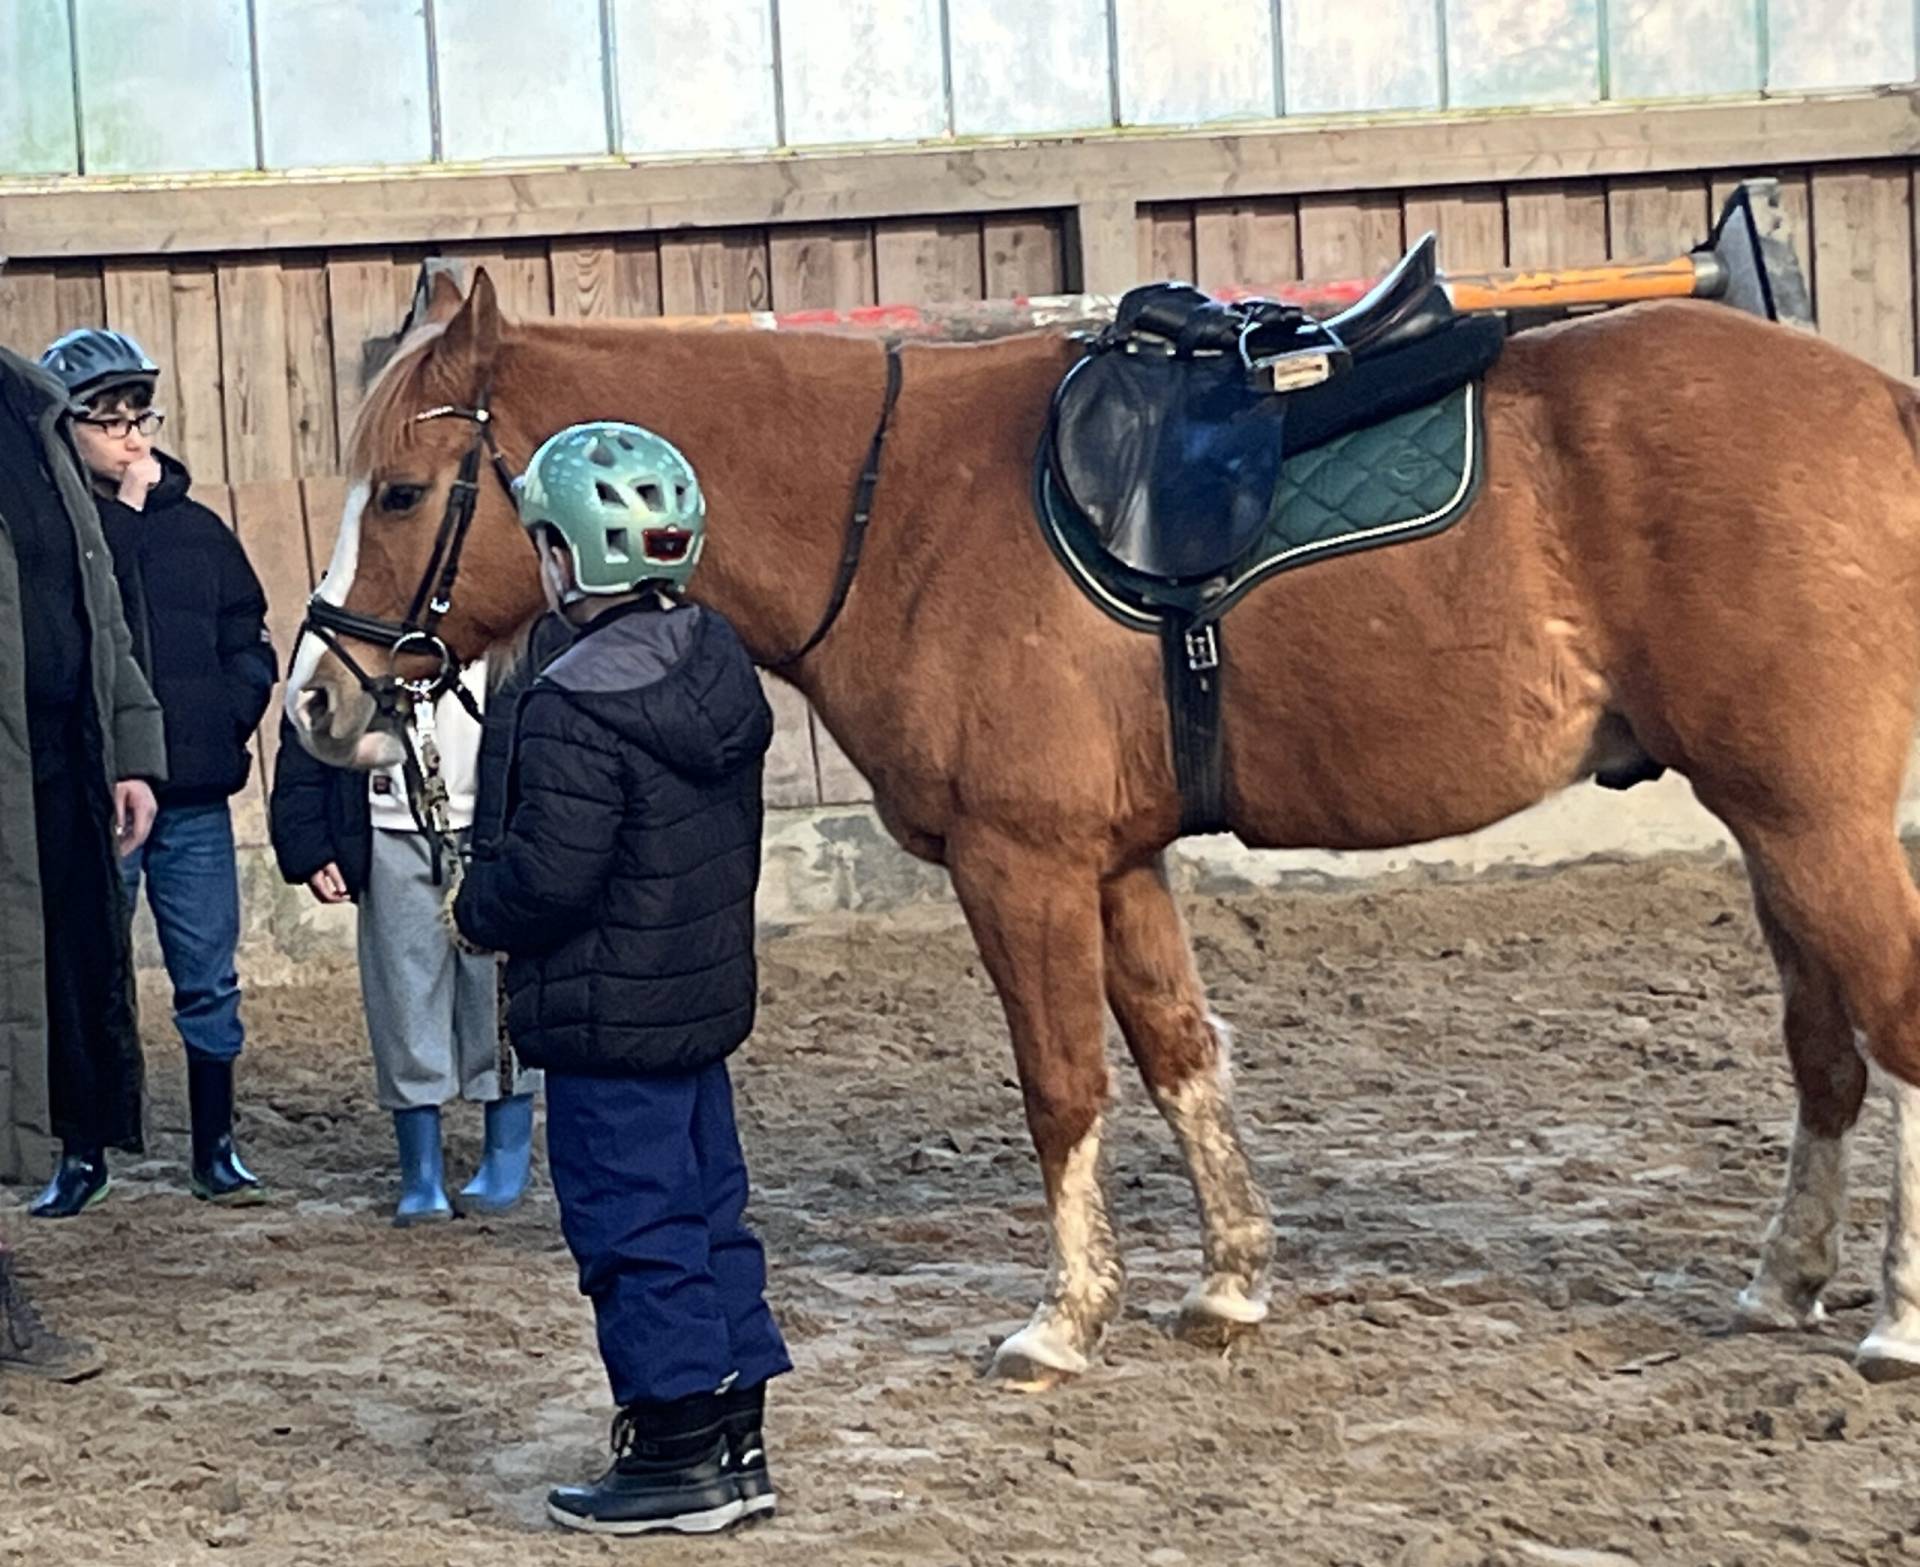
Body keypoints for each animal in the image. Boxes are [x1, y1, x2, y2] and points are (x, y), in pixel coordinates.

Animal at [286, 264, 1920, 1388]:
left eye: (408, 490)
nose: (315, 700)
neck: (902, 503)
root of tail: (1878, 403)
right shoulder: (1121, 863)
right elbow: (1181, 1054)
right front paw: (1231, 1282)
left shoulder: (1023, 868)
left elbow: (1062, 1082)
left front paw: (1064, 1318)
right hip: (1775, 830)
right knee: (1825, 1048)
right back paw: (1786, 1278)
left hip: (1817, 820)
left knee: (1891, 1031)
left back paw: (1895, 1320)